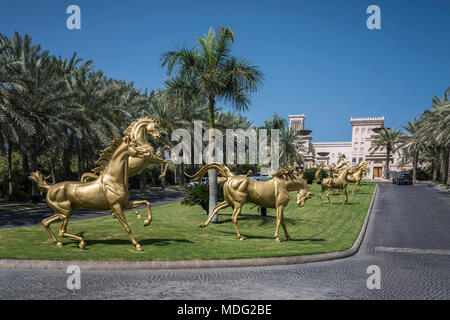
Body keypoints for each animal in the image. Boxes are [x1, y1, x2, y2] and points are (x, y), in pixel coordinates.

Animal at [29, 119, 161, 251]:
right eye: (135, 144)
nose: (150, 153)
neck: (114, 180)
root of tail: (50, 188)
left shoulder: (124, 204)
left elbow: (146, 202)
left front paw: (146, 222)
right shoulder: (116, 206)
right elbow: (126, 226)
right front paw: (138, 245)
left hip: (62, 213)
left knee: (46, 222)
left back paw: (59, 243)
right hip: (65, 213)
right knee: (61, 231)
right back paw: (81, 243)